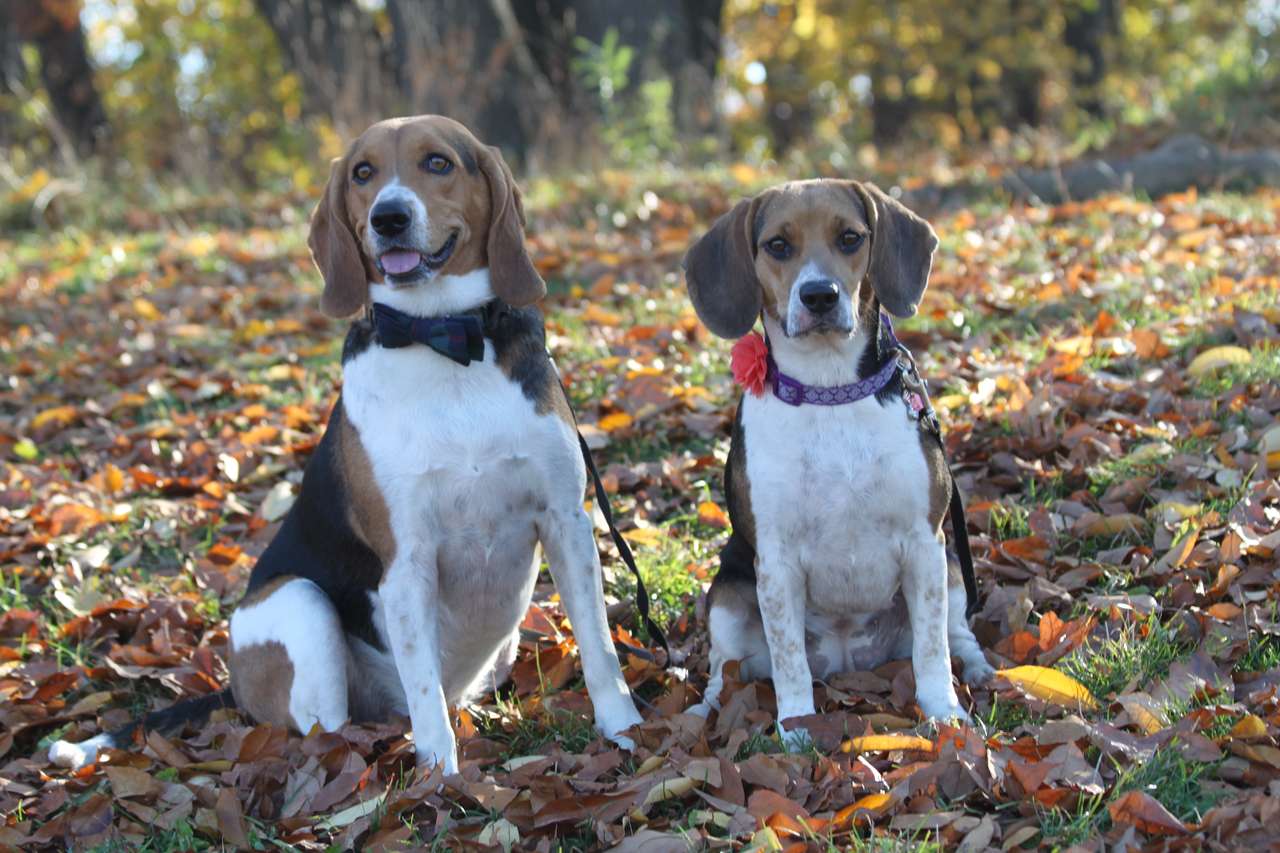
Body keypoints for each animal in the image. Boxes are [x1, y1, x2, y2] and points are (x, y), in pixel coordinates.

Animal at [52, 116, 640, 773]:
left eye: (438, 163)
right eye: (363, 173)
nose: (388, 217)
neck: (441, 339)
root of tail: (232, 687)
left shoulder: (567, 522)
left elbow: (599, 648)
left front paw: (624, 732)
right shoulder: (406, 562)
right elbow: (425, 695)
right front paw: (443, 780)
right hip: (300, 604)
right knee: (330, 727)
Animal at [680, 180, 988, 742]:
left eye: (850, 238)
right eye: (778, 245)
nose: (819, 295)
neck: (831, 389)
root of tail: (847, 660)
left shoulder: (924, 543)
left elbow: (932, 650)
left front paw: (944, 712)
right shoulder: (774, 563)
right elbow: (788, 662)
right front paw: (797, 726)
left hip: (953, 569)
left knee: (956, 635)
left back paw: (979, 670)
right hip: (729, 595)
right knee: (724, 671)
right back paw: (705, 711)